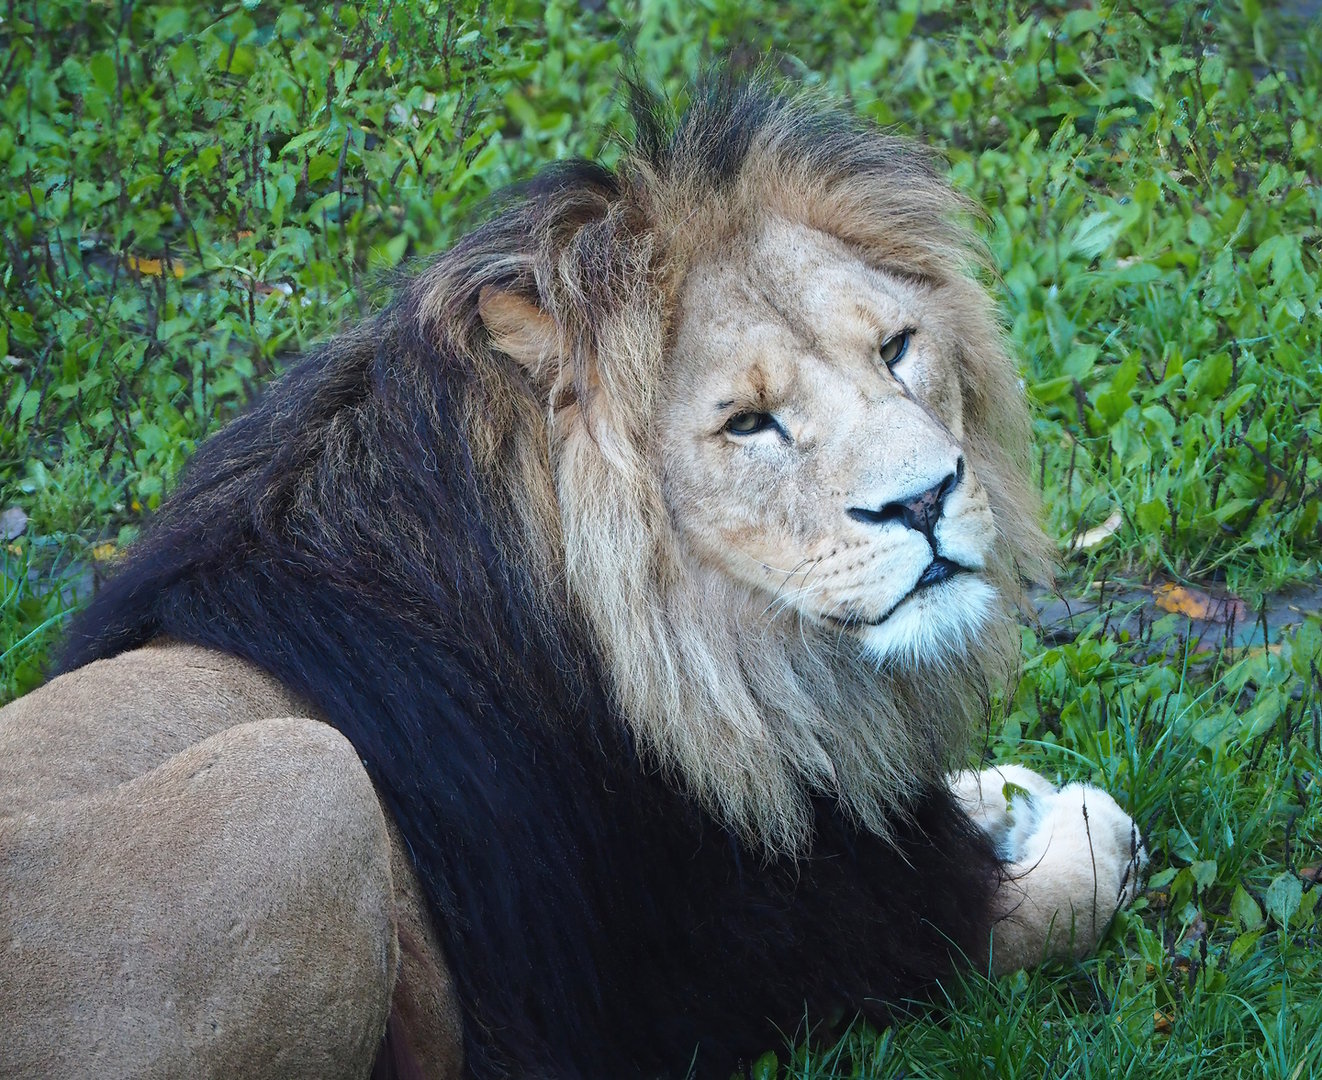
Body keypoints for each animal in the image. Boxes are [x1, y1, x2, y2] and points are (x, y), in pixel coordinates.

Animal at [0, 82, 1145, 1079]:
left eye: (898, 348)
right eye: (748, 423)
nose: (925, 499)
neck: (723, 664)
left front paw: (1003, 791)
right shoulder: (785, 954)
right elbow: (1081, 879)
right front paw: (1070, 823)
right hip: (300, 778)